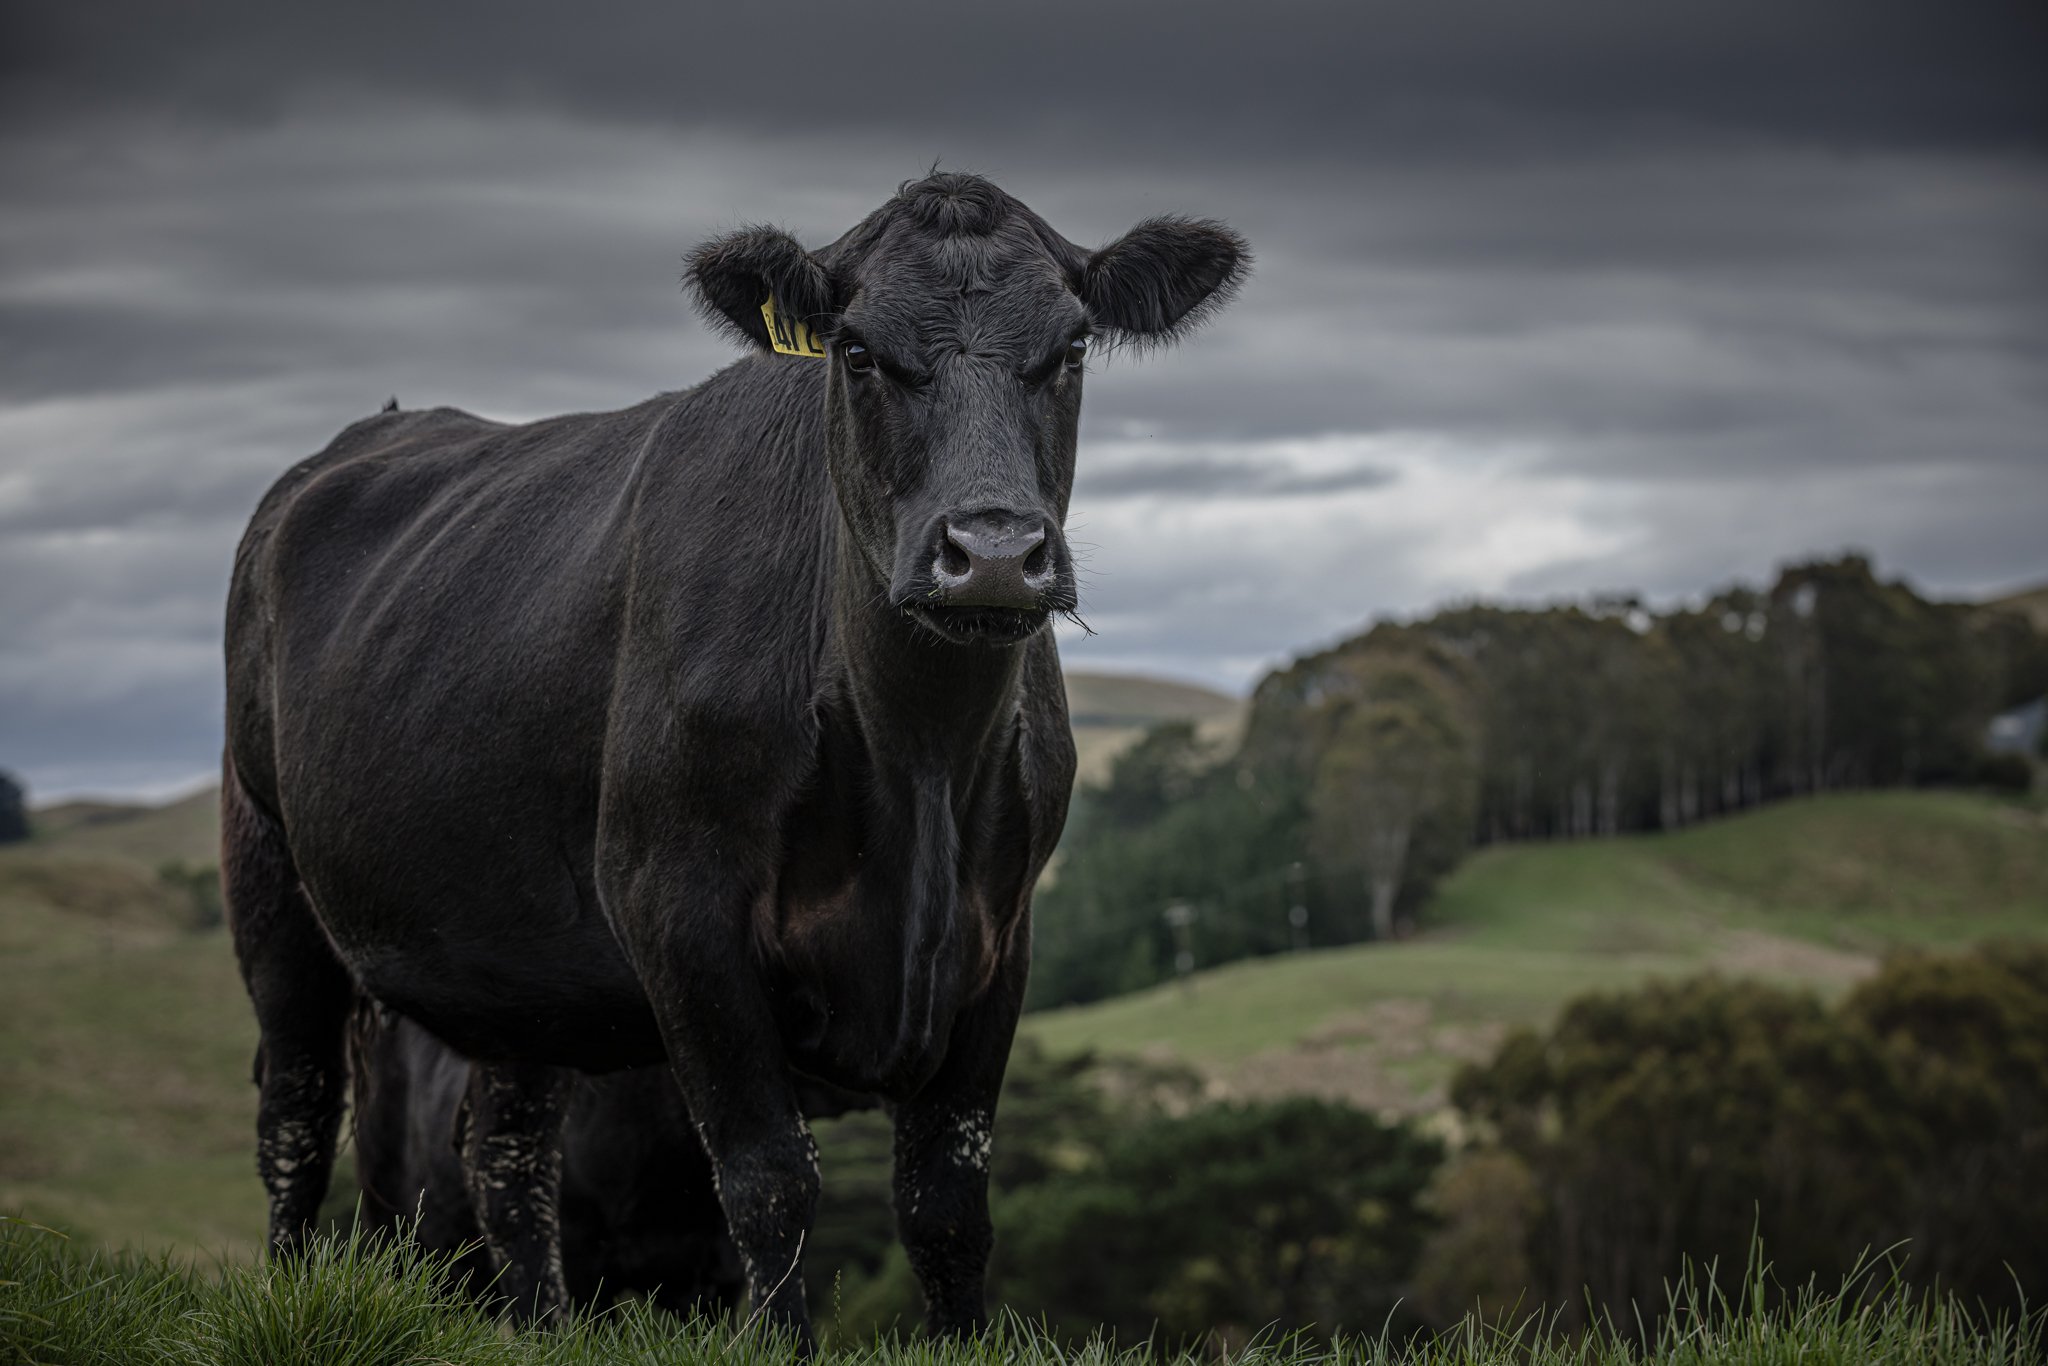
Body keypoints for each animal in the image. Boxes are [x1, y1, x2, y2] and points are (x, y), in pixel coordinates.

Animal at [221, 171, 1247, 1344]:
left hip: (516, 947)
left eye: (1072, 345)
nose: (992, 553)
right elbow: (768, 1180)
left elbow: (946, 1195)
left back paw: (541, 1329)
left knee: (506, 1153)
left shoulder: (1000, 931)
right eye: (855, 350)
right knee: (296, 1116)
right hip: (270, 877)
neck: (917, 759)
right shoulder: (678, 909)